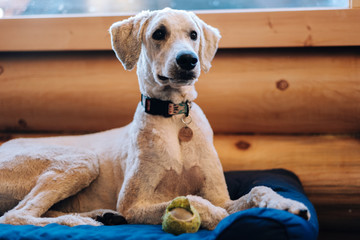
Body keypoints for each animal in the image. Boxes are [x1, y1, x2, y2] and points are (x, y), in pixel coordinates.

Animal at [0, 7, 310, 229]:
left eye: (194, 35)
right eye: (159, 33)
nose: (188, 60)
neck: (173, 118)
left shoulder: (220, 194)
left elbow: (257, 188)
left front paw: (286, 205)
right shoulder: (134, 205)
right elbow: (193, 201)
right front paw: (217, 217)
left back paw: (102, 215)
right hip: (80, 161)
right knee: (15, 215)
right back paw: (80, 221)